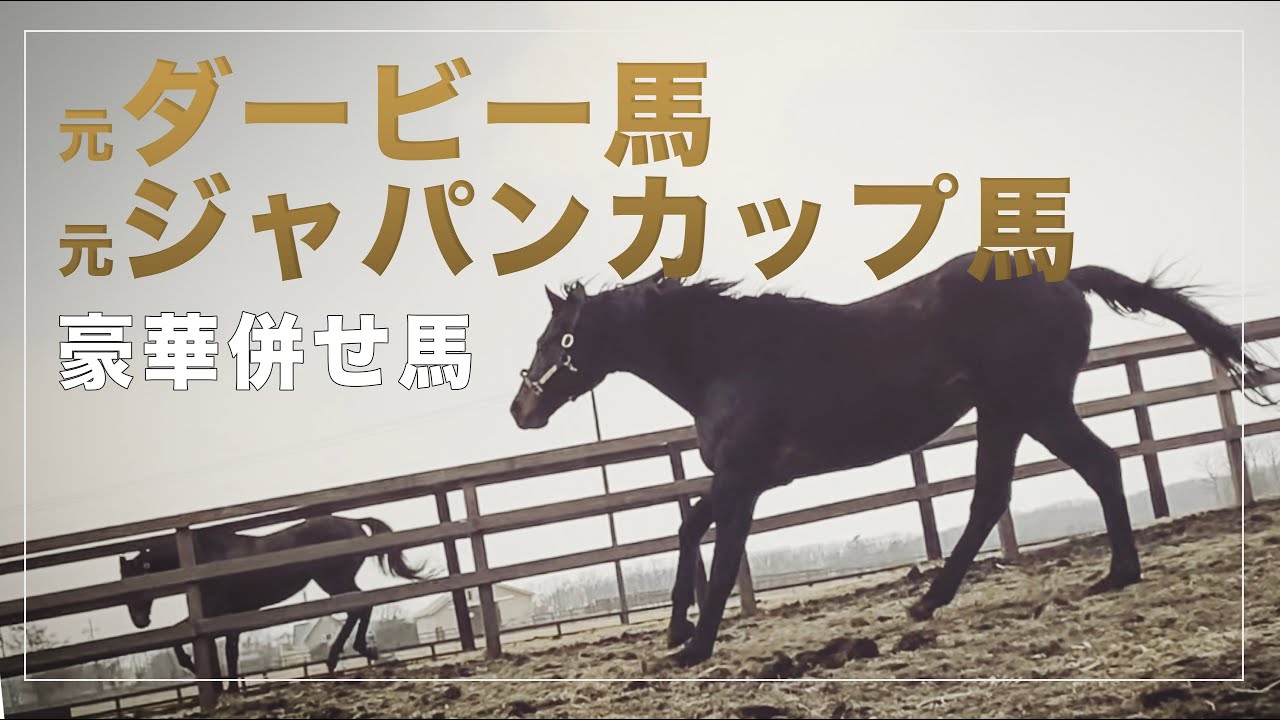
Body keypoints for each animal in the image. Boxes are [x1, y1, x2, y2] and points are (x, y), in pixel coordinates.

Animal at [119, 515, 427, 689]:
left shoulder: (216, 611)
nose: (139, 621)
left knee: (360, 606)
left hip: (335, 581)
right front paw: (231, 686)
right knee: (360, 607)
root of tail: (353, 523)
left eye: (134, 586)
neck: (205, 559)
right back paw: (353, 652)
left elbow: (183, 637)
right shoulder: (227, 616)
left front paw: (198, 668)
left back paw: (345, 654)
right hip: (336, 583)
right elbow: (230, 651)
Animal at [509, 250, 1276, 666]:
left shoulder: (744, 478)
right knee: (1003, 494)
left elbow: (720, 557)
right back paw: (935, 600)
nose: (521, 410)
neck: (729, 357)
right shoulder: (741, 480)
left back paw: (1109, 576)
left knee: (1094, 468)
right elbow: (689, 529)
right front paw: (674, 631)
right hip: (1007, 414)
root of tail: (1063, 276)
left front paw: (695, 647)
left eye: (555, 340)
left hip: (1032, 406)